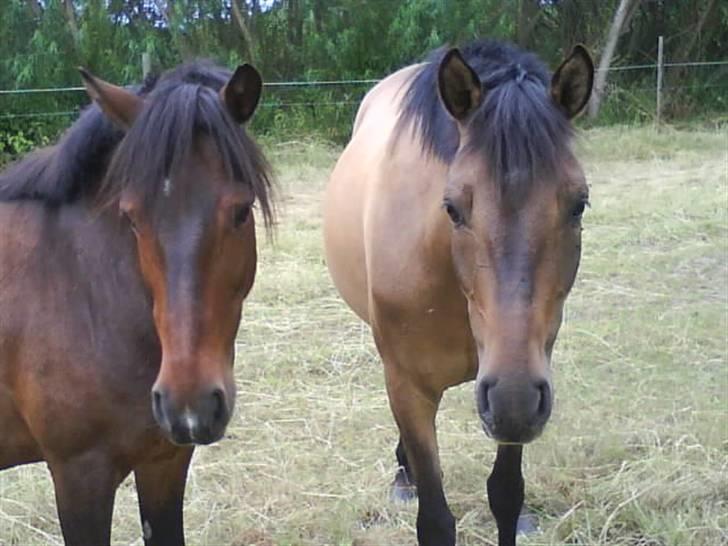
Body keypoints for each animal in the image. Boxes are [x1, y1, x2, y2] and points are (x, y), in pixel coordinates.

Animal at [324, 39, 592, 544]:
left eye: (578, 204)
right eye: (451, 208)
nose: (513, 400)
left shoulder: (520, 378)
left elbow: (505, 496)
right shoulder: (409, 385)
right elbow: (434, 520)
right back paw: (404, 474)